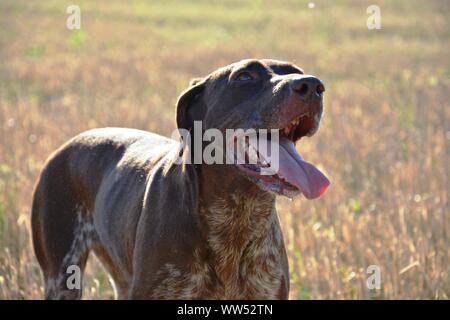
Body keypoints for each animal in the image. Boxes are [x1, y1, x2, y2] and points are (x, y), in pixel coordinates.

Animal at [30, 58, 326, 300]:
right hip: (61, 278)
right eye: (244, 77)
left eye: (297, 72)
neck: (237, 215)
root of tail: (63, 148)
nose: (313, 85)